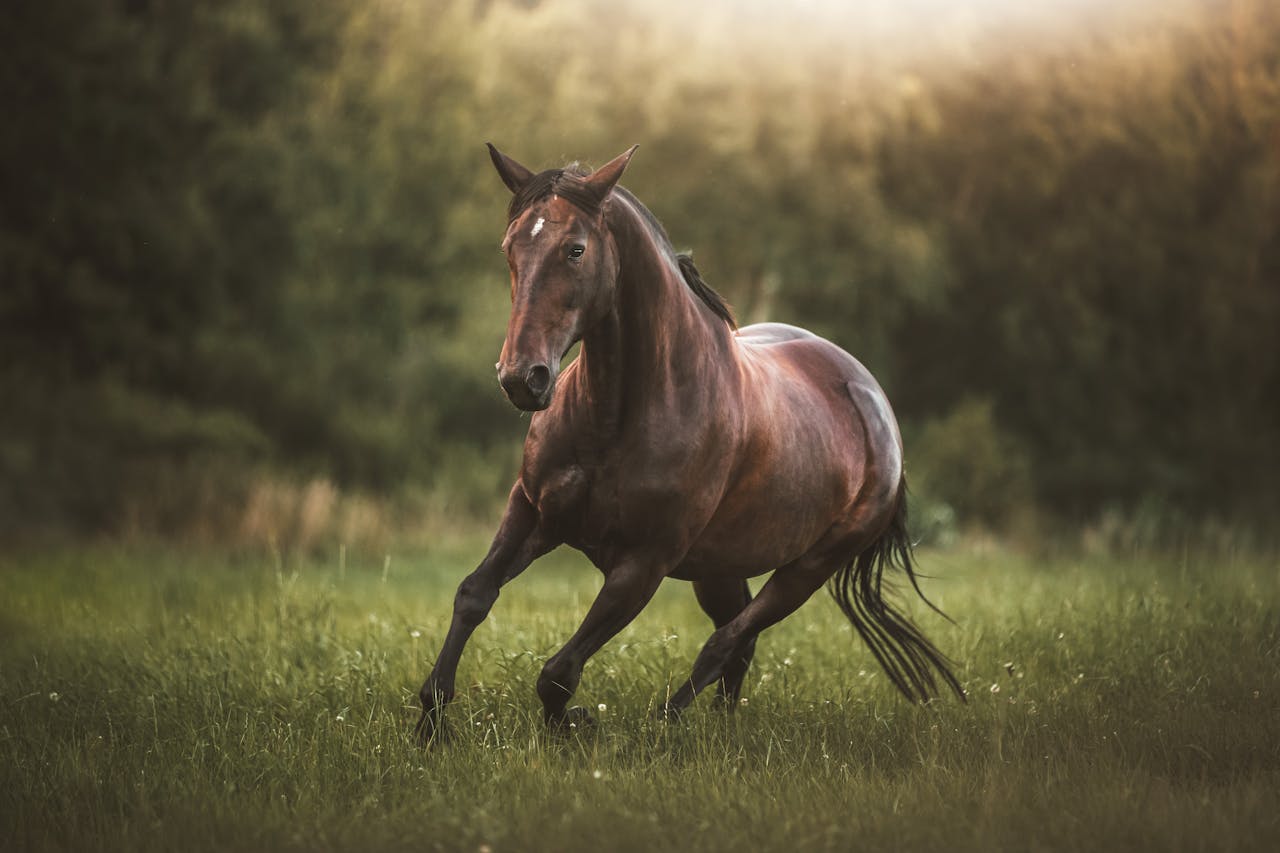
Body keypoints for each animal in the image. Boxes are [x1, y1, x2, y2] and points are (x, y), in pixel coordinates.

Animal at [415, 144, 963, 743]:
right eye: (511, 247)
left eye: (575, 250)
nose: (522, 378)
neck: (617, 415)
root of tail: (875, 403)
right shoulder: (533, 510)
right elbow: (474, 595)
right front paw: (431, 722)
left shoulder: (644, 563)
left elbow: (559, 673)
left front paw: (576, 725)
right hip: (718, 568)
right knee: (736, 645)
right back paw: (719, 726)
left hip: (807, 569)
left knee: (727, 643)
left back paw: (668, 726)